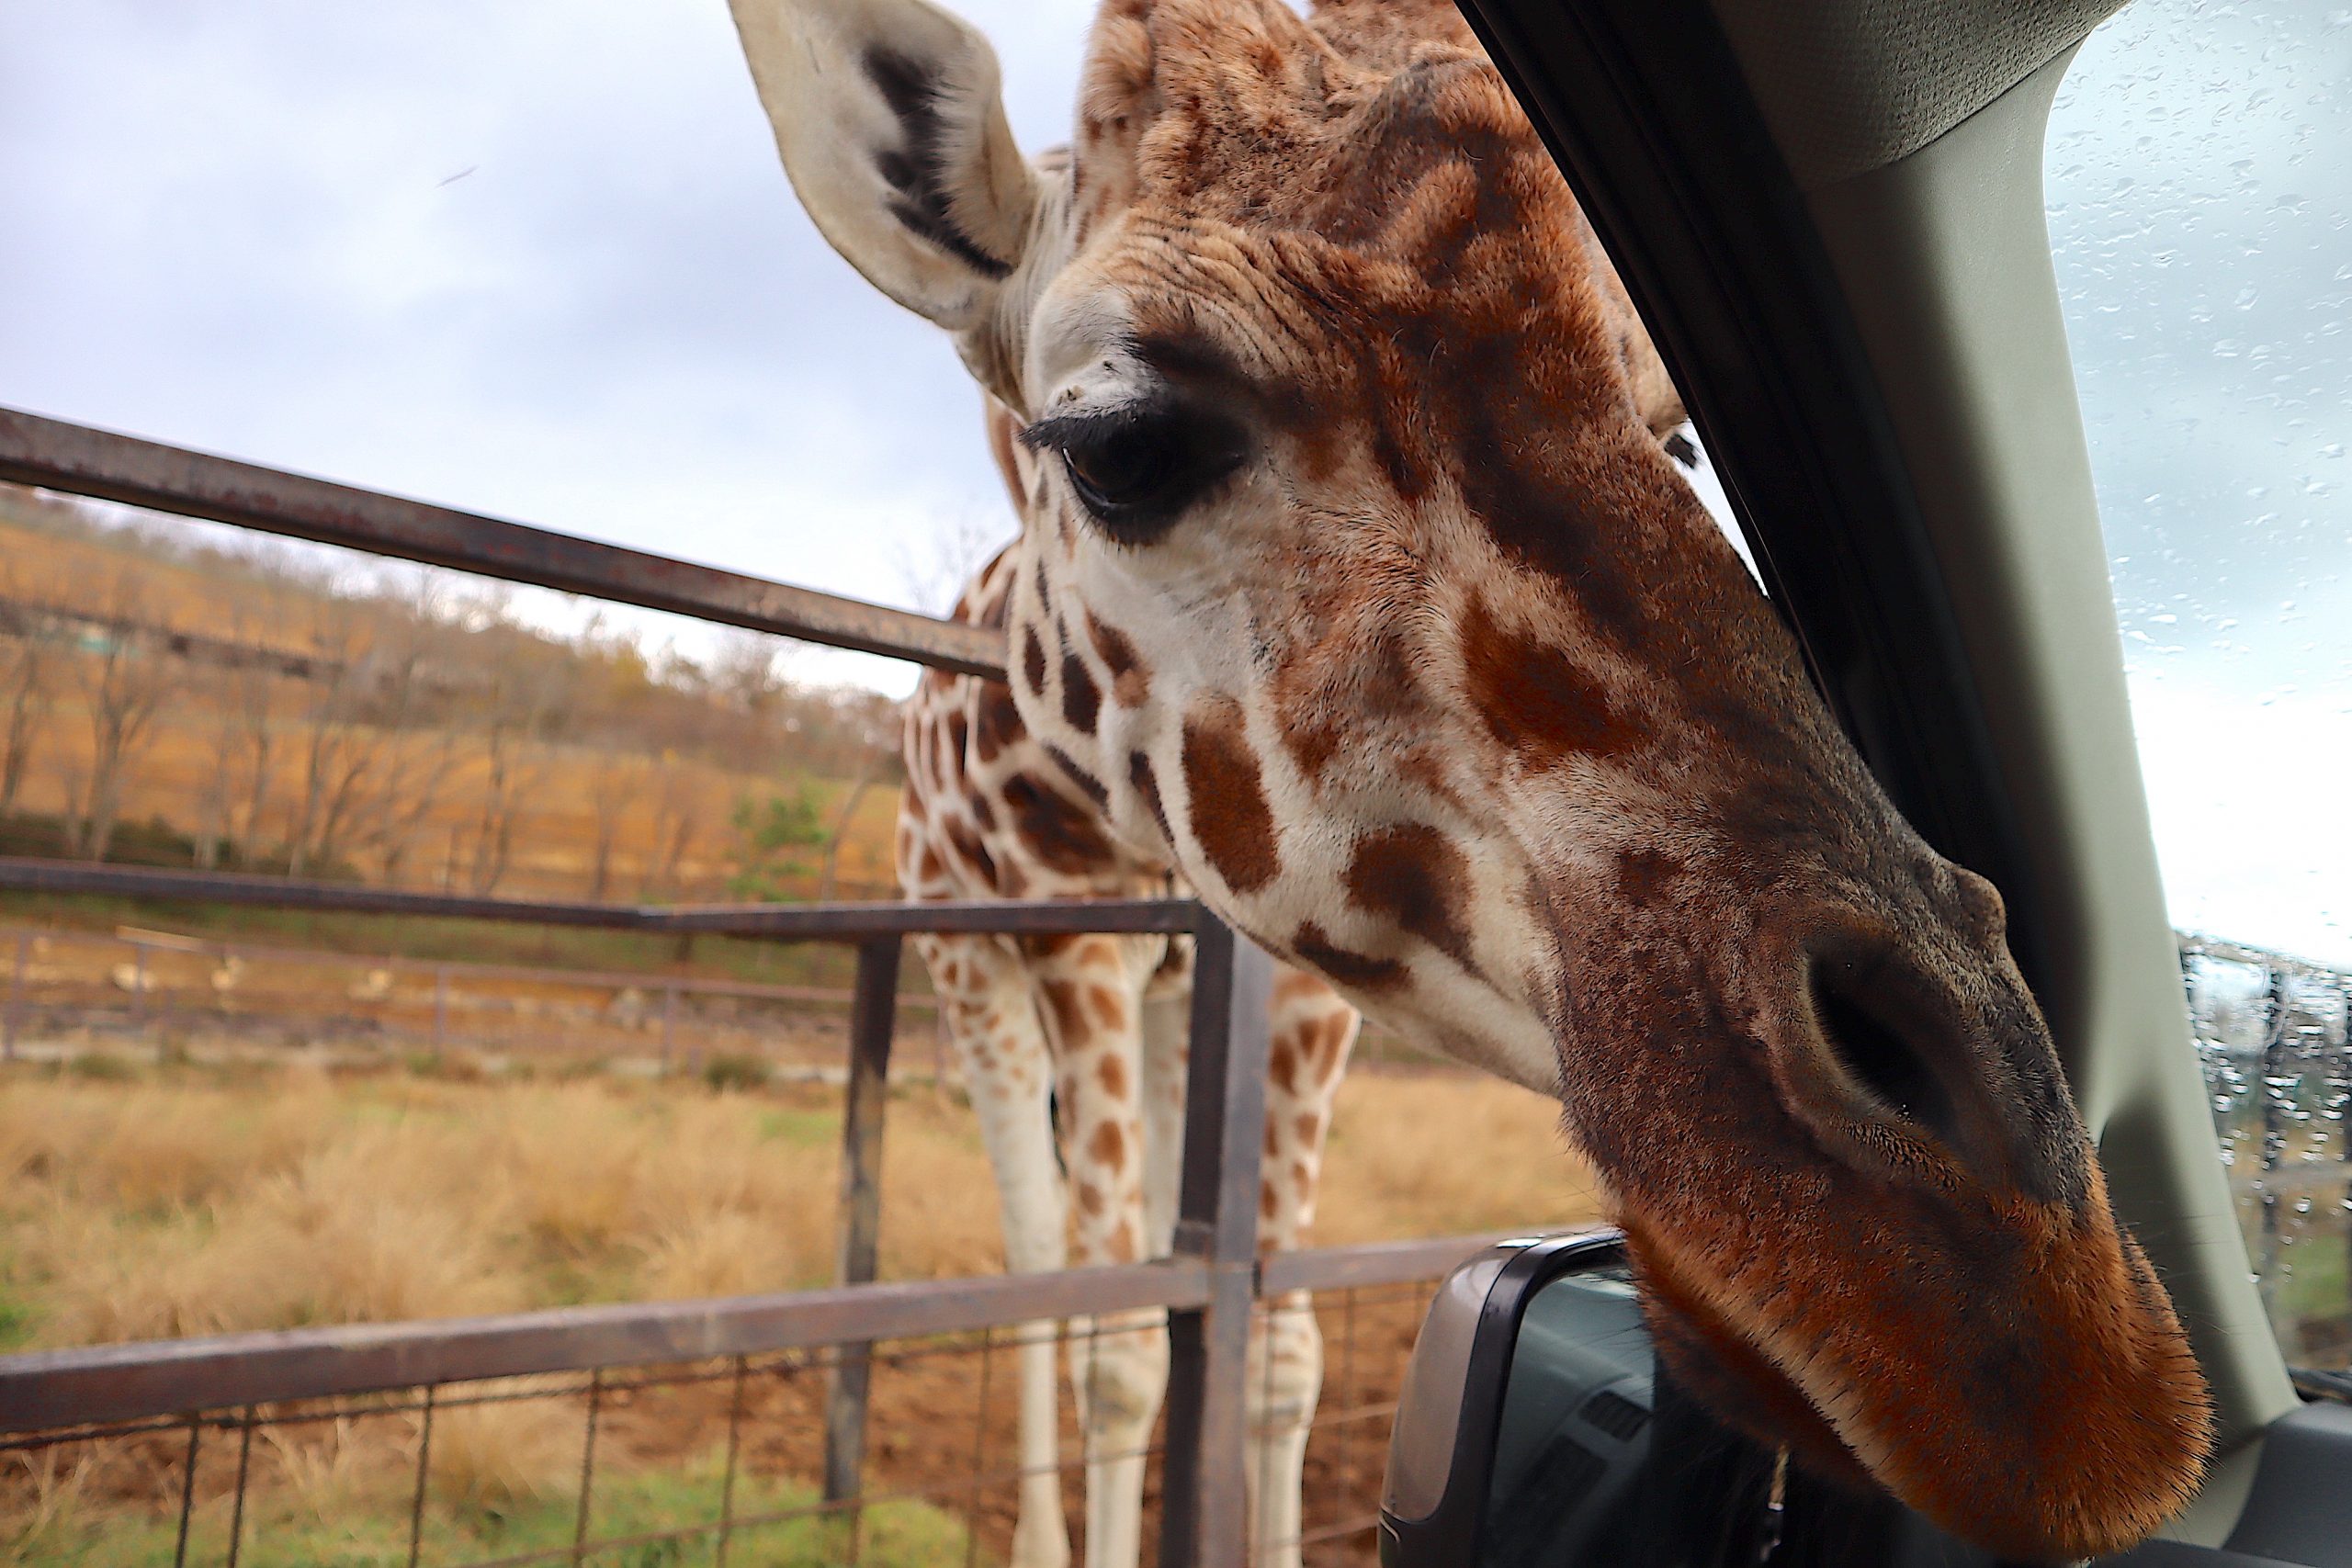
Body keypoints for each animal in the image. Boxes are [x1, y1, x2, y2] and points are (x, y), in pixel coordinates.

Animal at [888, 415, 1363, 1568]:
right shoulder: (1071, 919)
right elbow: (1116, 1349)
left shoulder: (1297, 976)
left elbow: (1279, 1343)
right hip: (965, 959)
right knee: (1036, 1241)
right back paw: (1037, 1542)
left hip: (1163, 1000)